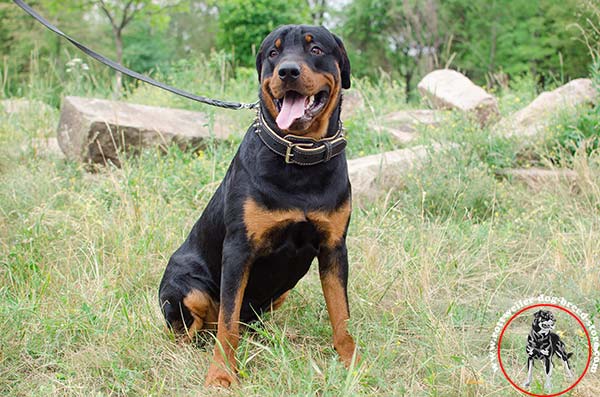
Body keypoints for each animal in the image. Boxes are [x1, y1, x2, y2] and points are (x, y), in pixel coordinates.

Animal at [157, 25, 358, 386]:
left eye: (316, 49)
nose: (288, 71)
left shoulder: (334, 247)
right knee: (198, 329)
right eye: (273, 53)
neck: (300, 158)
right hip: (187, 289)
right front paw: (221, 374)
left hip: (280, 293)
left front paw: (351, 362)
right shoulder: (239, 249)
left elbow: (341, 314)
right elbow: (228, 324)